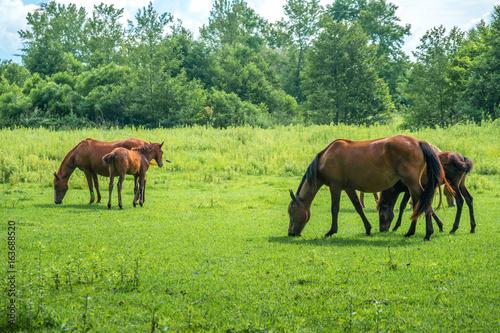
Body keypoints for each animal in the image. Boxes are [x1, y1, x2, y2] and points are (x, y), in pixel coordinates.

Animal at [286, 134, 450, 240]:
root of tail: (419, 142)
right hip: (412, 185)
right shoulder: (349, 188)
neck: (325, 158)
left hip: (412, 183)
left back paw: (428, 233)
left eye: (291, 211)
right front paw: (368, 229)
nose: (291, 233)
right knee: (420, 204)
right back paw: (411, 232)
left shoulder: (335, 187)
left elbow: (335, 209)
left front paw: (331, 231)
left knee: (424, 203)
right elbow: (358, 207)